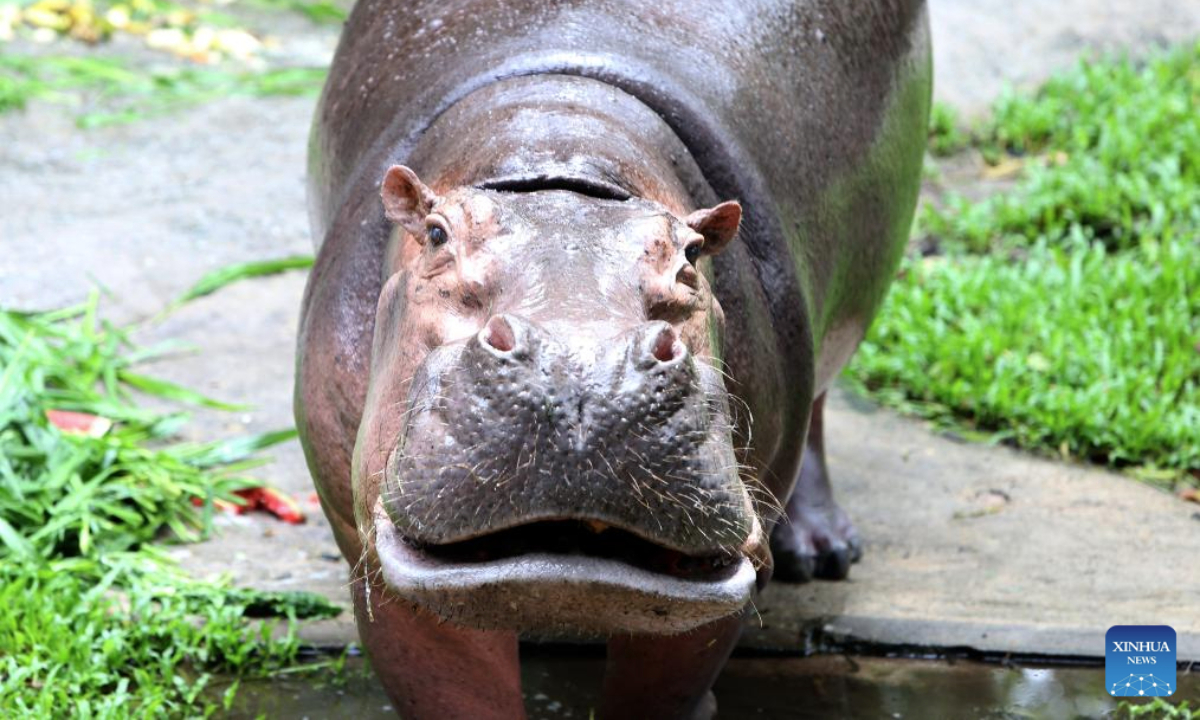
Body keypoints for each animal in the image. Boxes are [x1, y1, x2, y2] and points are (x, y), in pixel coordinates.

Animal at [296, 0, 930, 716]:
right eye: (436, 234)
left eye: (690, 255)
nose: (582, 365)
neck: (567, 144)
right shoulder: (371, 554)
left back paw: (822, 551)